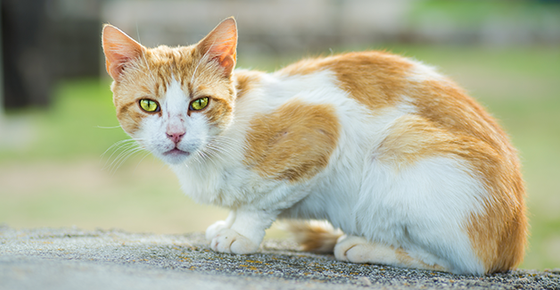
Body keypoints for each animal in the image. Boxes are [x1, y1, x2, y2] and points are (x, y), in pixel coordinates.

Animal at [103, 17, 528, 276]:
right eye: (149, 105)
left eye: (200, 103)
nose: (175, 134)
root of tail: (513, 244)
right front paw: (228, 222)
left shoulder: (325, 124)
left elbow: (260, 203)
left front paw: (240, 234)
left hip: (401, 147)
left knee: (461, 263)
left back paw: (363, 246)